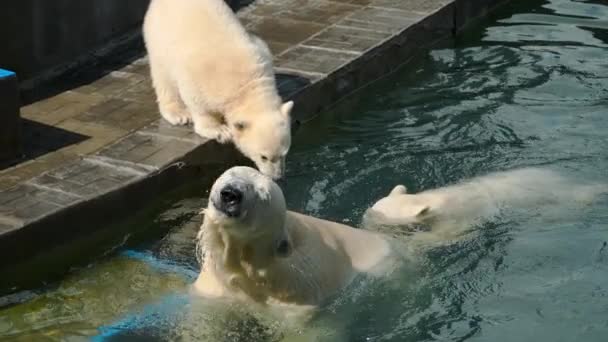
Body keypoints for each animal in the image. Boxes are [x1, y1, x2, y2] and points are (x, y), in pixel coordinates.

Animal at [144, 0, 294, 180]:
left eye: (284, 153)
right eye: (263, 157)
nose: (277, 177)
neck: (247, 87)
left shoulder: (260, 54)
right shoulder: (202, 78)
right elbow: (198, 101)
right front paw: (221, 131)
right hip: (160, 36)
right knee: (164, 77)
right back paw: (178, 114)